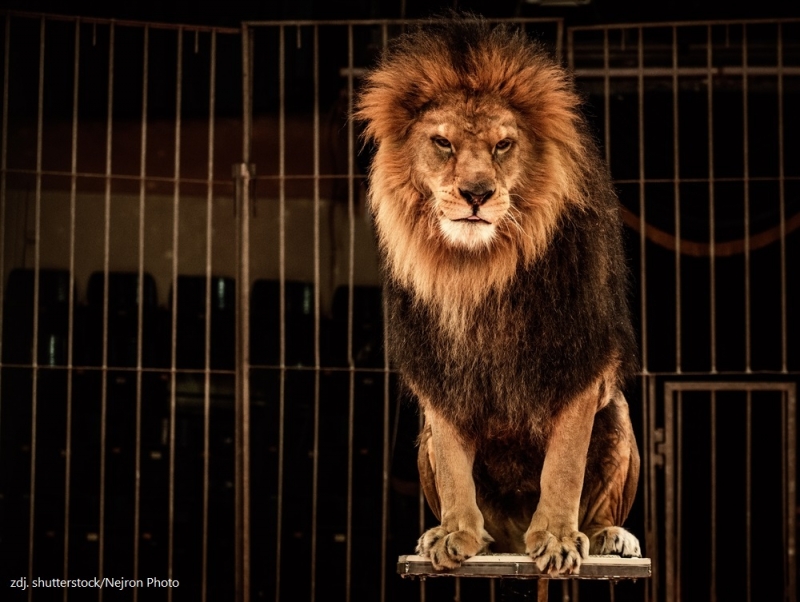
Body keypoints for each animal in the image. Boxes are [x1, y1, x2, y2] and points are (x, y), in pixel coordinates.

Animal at [356, 16, 644, 576]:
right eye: (442, 143)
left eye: (503, 145)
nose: (477, 193)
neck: (480, 269)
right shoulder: (439, 369)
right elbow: (454, 465)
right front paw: (456, 534)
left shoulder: (580, 362)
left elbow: (564, 466)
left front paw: (557, 539)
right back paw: (455, 536)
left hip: (618, 414)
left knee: (600, 508)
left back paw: (609, 537)